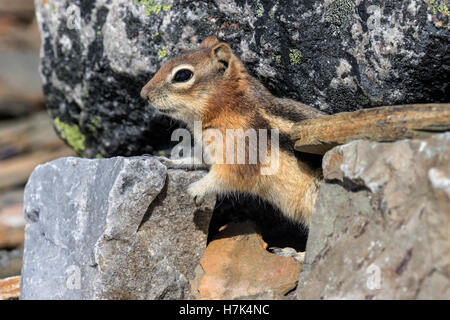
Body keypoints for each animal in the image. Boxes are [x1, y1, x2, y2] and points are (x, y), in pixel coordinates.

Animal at [141, 36, 324, 225]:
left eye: (182, 75)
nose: (143, 93)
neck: (229, 107)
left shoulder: (240, 152)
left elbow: (227, 177)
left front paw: (197, 189)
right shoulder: (210, 150)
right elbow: (197, 160)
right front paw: (168, 160)